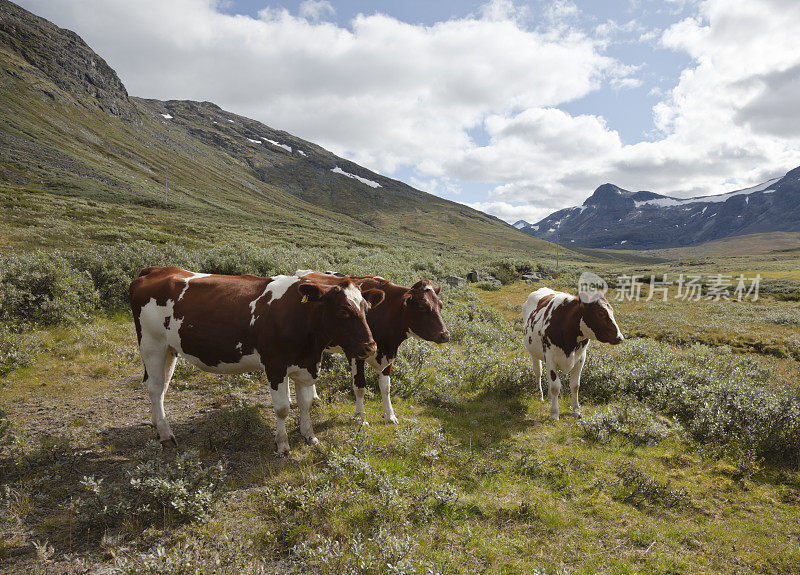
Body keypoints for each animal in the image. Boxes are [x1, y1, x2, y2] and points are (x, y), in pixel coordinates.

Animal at [129, 266, 384, 454]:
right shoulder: (275, 366)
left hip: (170, 348)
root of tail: (157, 270)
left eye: (365, 307)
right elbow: (282, 408)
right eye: (343, 310)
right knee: (154, 387)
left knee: (161, 385)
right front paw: (282, 444)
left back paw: (157, 425)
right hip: (152, 343)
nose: (370, 346)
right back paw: (166, 435)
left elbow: (305, 403)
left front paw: (309, 436)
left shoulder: (305, 365)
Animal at [296, 270, 454, 424]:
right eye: (422, 307)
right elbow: (360, 386)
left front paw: (390, 415)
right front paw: (360, 417)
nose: (445, 335)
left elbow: (386, 387)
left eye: (440, 305)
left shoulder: (389, 354)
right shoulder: (356, 354)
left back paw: (314, 397)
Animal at [524, 286, 624, 418]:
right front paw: (554, 413)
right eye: (601, 313)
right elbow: (555, 386)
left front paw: (576, 409)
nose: (620, 337)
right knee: (538, 372)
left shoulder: (580, 358)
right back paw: (540, 395)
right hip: (533, 352)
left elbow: (575, 385)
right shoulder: (550, 357)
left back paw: (550, 397)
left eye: (612, 311)